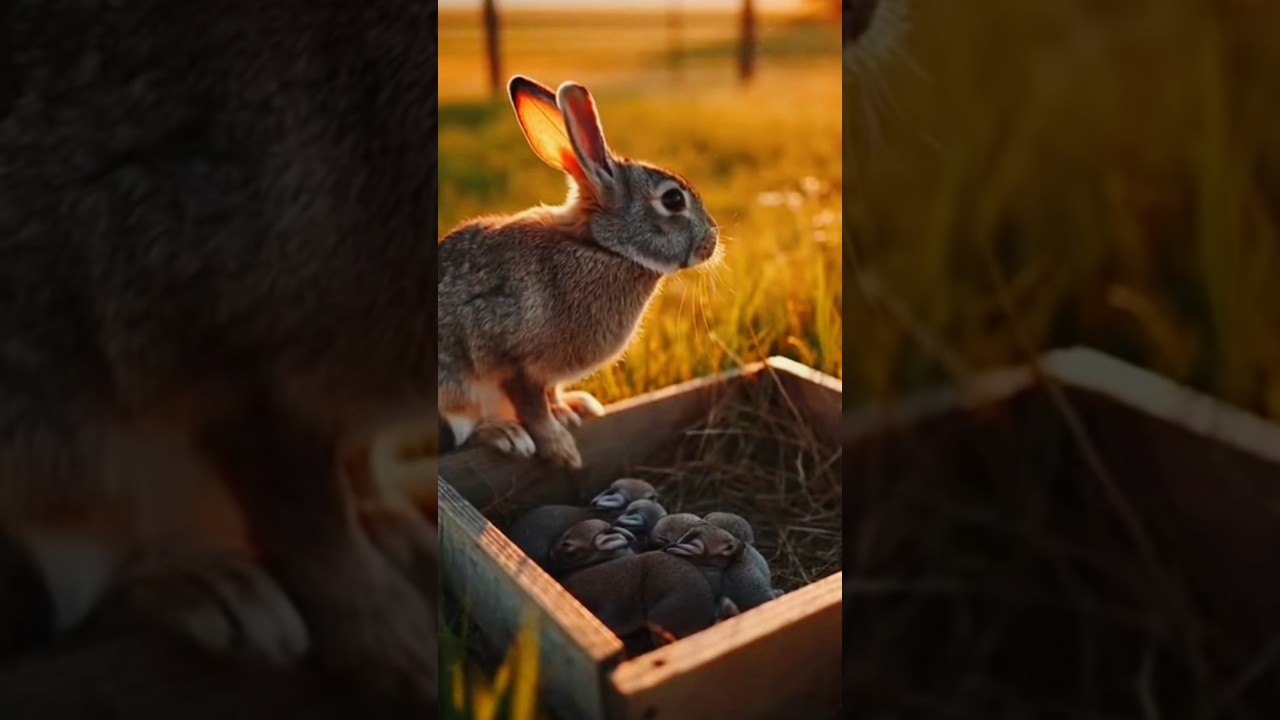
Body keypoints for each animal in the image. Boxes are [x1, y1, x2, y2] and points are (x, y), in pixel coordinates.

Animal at [1, 0, 438, 710]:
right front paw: (396, 649)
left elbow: (351, 466)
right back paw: (214, 596)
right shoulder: (216, 344)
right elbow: (303, 508)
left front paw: (392, 528)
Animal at [438, 74, 721, 469]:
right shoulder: (507, 353)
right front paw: (561, 448)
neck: (604, 248)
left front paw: (571, 409)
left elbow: (550, 395)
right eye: (673, 200)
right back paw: (505, 434)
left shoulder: (546, 376)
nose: (712, 240)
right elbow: (532, 407)